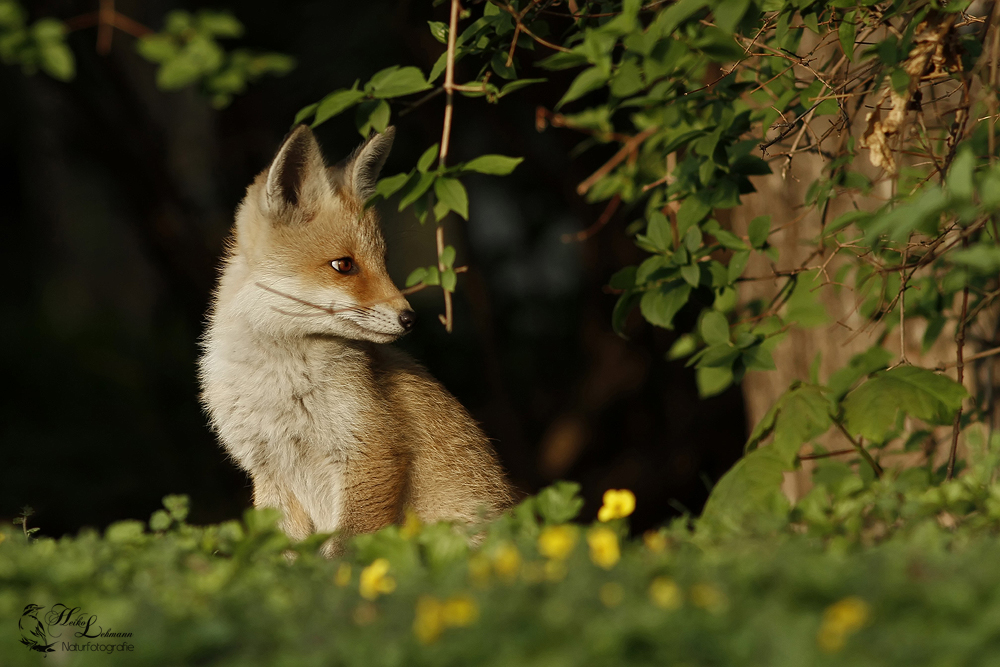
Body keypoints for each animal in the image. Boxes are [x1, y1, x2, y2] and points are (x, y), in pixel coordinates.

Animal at [201, 125, 516, 552]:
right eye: (344, 265)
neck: (274, 382)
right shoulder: (269, 472)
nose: (410, 319)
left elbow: (343, 554)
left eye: (383, 263)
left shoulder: (371, 451)